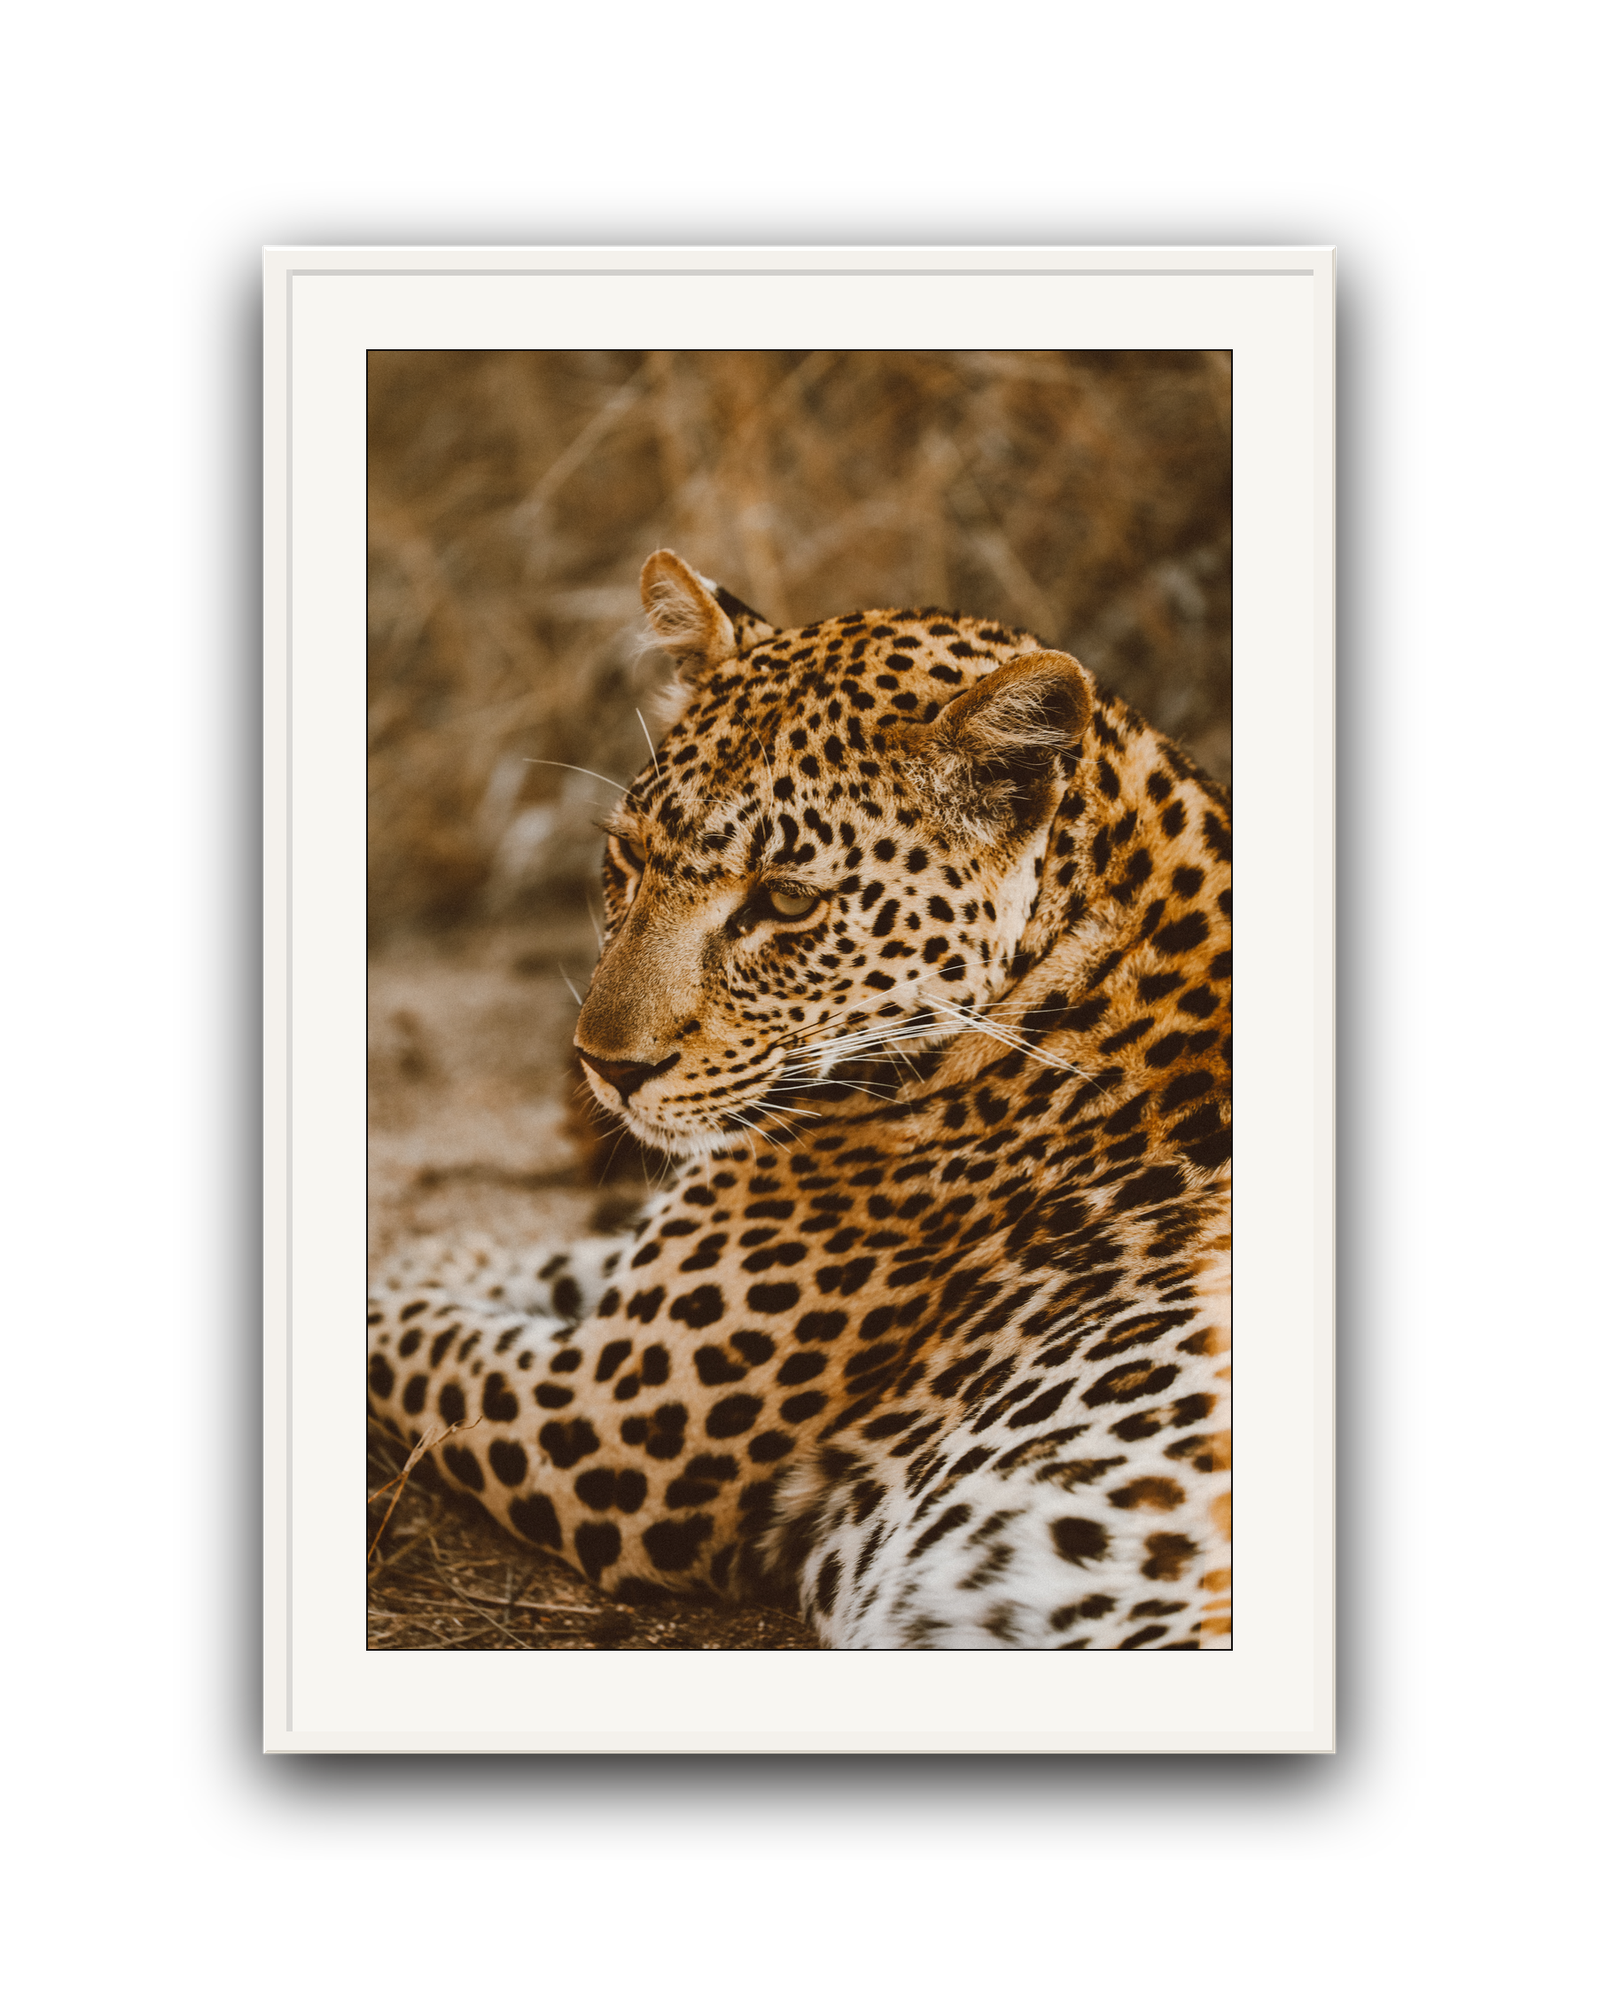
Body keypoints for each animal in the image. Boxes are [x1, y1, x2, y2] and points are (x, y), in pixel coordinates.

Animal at [368, 549, 1232, 1649]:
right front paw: (448, 1255)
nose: (604, 1065)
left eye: (783, 901)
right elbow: (555, 1260)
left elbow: (408, 1338)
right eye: (631, 857)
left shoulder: (603, 1419)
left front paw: (408, 1274)